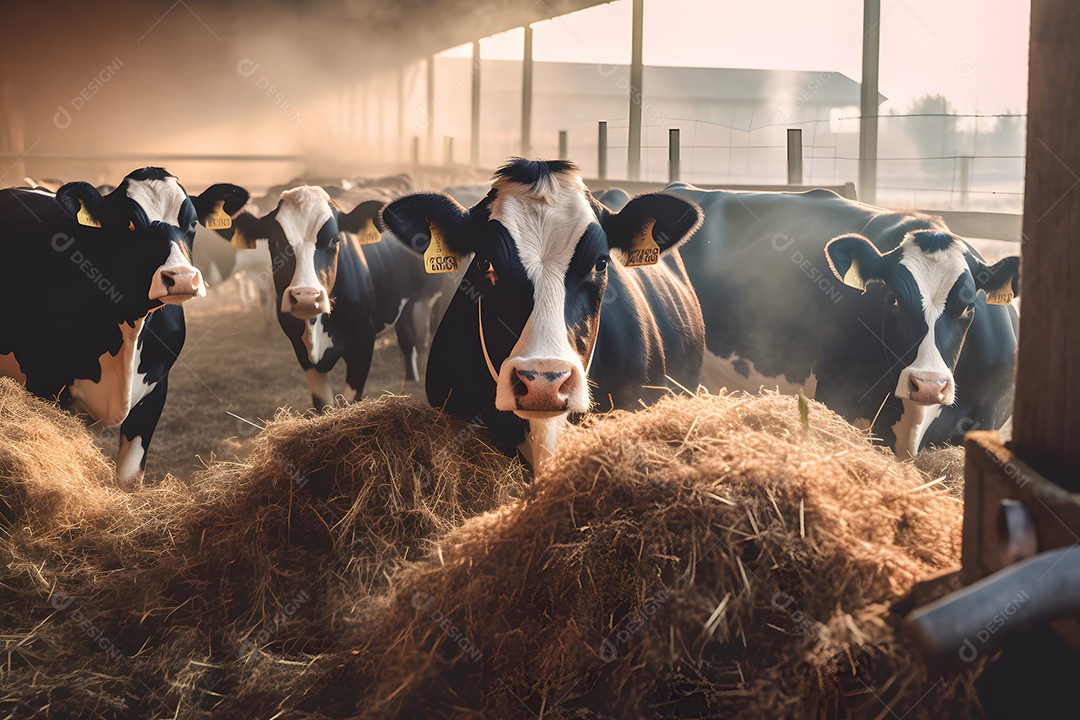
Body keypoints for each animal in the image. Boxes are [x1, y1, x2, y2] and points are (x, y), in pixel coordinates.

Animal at [1, 166, 248, 487]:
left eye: (193, 223)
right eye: (129, 223)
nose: (181, 277)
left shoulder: (155, 390)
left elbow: (128, 477)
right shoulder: (43, 381)